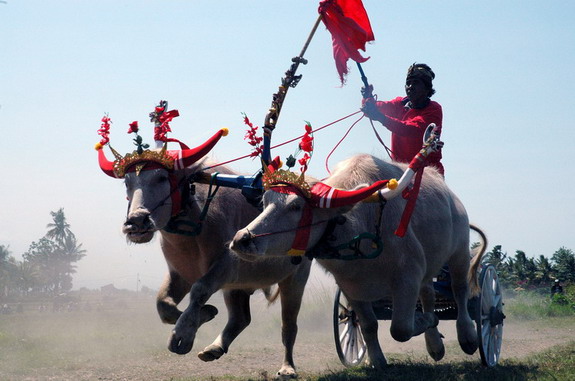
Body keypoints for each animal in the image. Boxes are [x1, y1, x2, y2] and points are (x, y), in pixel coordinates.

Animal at [232, 153, 488, 366]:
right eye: (265, 202)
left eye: (296, 206)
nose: (241, 239)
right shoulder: (351, 287)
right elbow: (369, 325)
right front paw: (378, 360)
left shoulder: (408, 277)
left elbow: (401, 329)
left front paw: (425, 320)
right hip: (428, 270)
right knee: (429, 294)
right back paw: (435, 345)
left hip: (459, 253)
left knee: (460, 291)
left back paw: (467, 337)